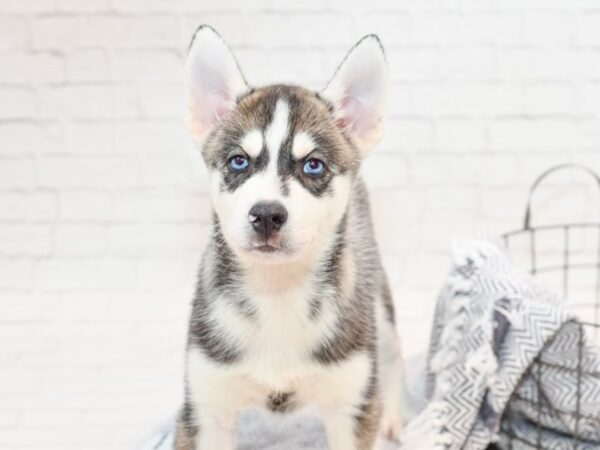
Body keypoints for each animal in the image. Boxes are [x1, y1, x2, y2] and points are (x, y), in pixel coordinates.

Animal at [173, 25, 408, 450]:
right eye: (239, 161)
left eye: (313, 165)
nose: (267, 214)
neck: (277, 293)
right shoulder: (205, 409)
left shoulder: (350, 407)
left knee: (393, 348)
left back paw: (394, 413)